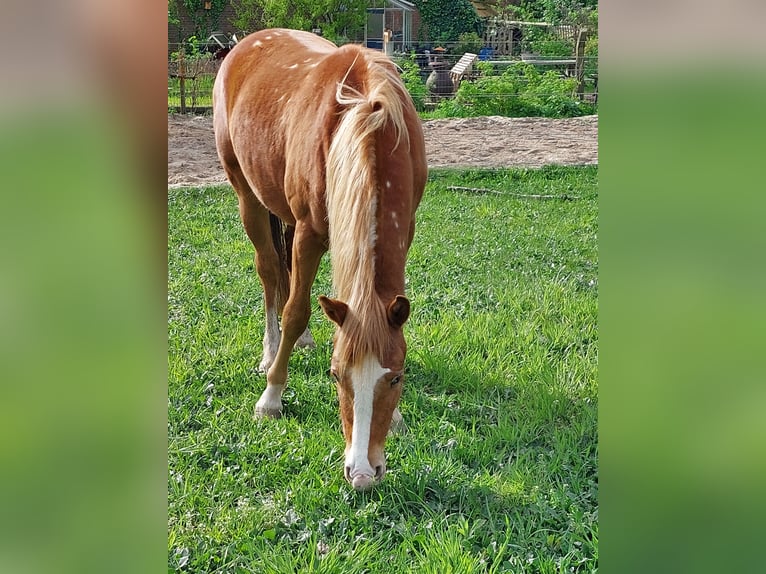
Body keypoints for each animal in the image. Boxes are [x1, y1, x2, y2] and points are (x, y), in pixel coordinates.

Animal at [213, 29, 428, 492]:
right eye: (335, 375)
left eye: (396, 377)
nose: (363, 473)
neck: (367, 119)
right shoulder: (310, 233)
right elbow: (295, 308)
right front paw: (272, 397)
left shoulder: (405, 229)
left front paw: (397, 417)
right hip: (248, 197)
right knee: (270, 273)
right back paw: (271, 351)